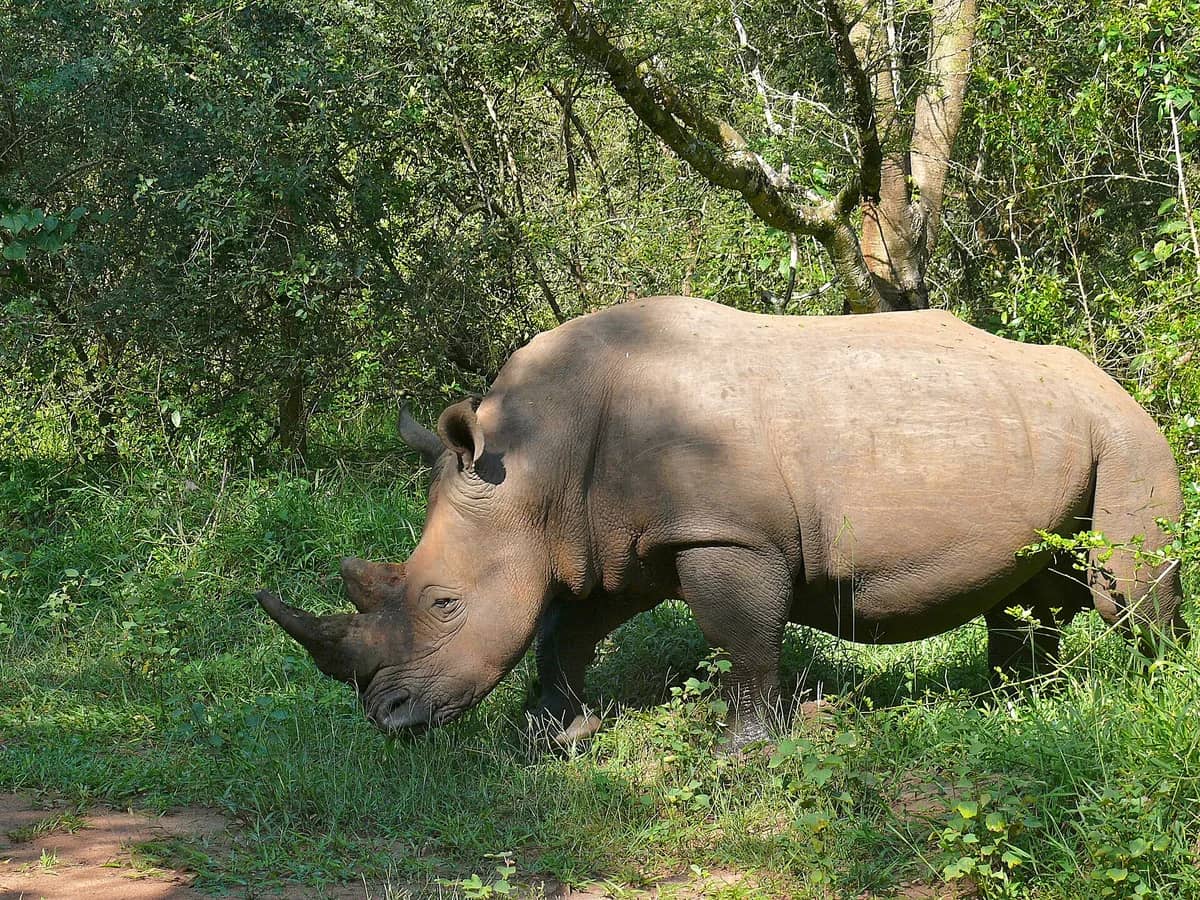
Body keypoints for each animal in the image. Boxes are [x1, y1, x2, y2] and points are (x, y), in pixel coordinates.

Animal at [257, 296, 1186, 747]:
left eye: (444, 604)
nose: (388, 722)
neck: (533, 465)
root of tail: (1113, 383)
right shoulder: (612, 542)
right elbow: (564, 628)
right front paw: (557, 733)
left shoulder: (723, 531)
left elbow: (741, 639)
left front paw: (742, 751)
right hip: (1048, 425)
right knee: (1030, 596)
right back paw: (1013, 706)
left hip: (1127, 434)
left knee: (1126, 593)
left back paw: (1155, 695)